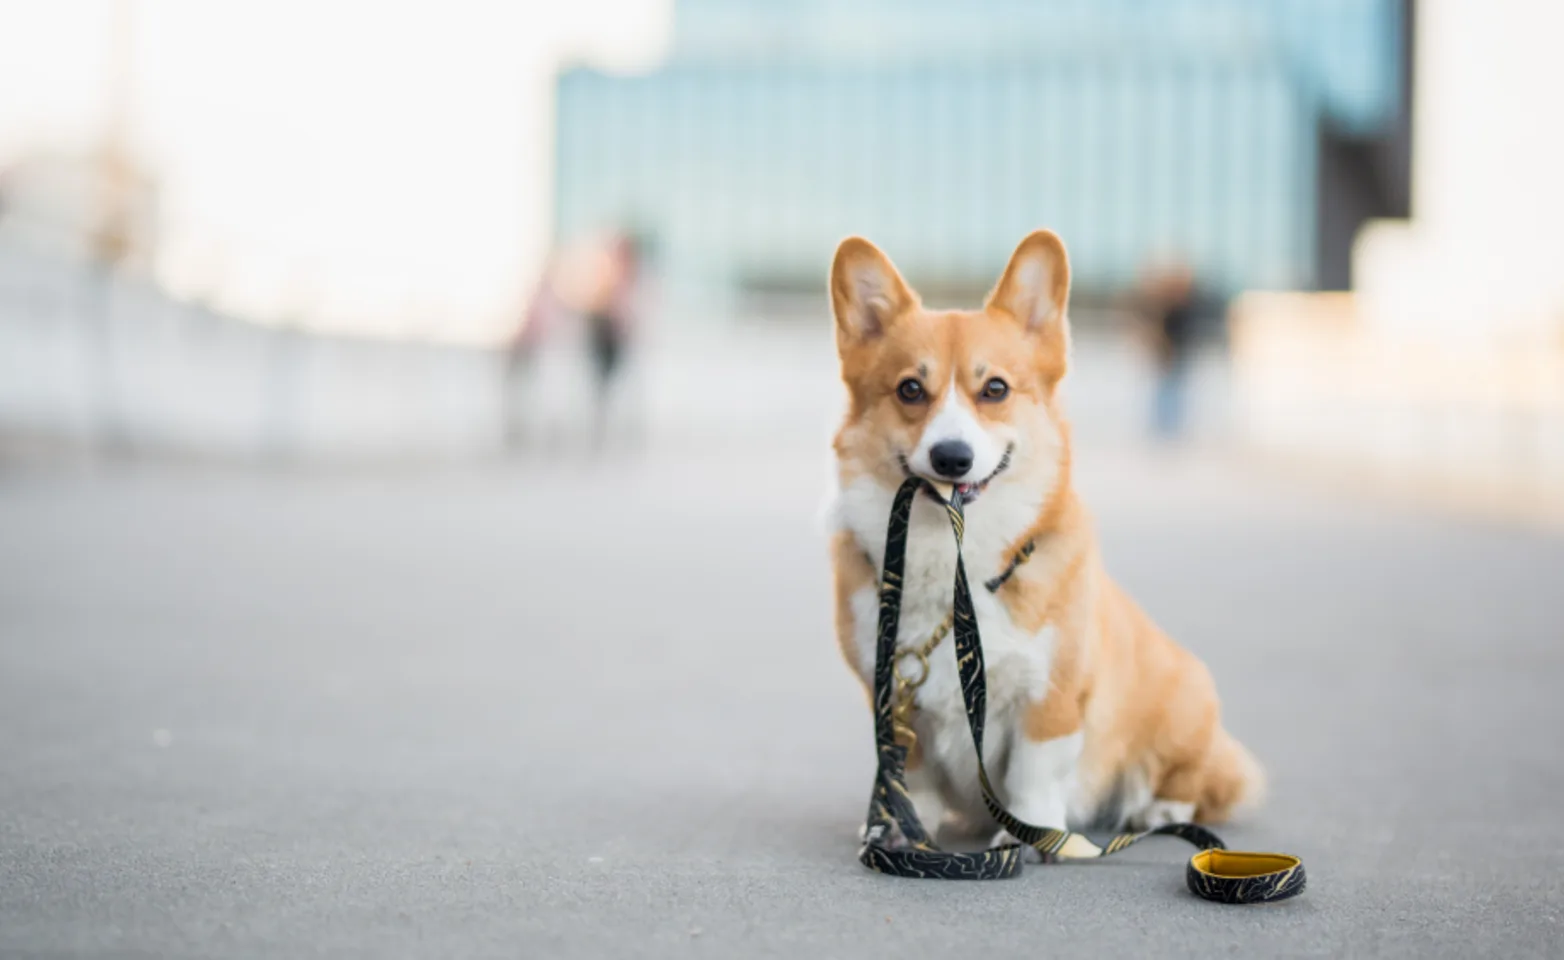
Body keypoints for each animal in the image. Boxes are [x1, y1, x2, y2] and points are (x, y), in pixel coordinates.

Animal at [832, 232, 1257, 856]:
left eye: (995, 389)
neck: (954, 567)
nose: (952, 457)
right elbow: (914, 771)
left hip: (1183, 705)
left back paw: (1158, 809)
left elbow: (1032, 773)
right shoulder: (893, 699)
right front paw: (904, 828)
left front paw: (1031, 837)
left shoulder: (1051, 697)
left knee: (1202, 782)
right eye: (910, 389)